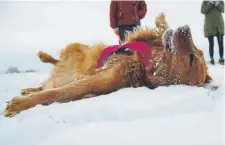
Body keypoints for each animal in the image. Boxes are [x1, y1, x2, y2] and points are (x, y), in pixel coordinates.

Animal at [3, 12, 212, 116]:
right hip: (76, 49)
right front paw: (161, 21)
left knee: (50, 85)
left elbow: (60, 92)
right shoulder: (141, 41)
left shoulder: (101, 80)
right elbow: (154, 32)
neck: (144, 65)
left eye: (191, 58)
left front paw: (18, 105)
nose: (186, 27)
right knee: (53, 67)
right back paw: (41, 60)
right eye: (197, 52)